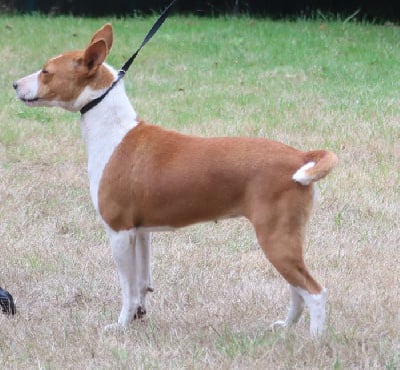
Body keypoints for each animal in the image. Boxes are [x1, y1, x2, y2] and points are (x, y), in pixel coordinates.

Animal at [13, 22, 338, 336]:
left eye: (46, 71)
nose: (14, 84)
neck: (114, 131)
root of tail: (300, 157)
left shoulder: (119, 232)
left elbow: (127, 288)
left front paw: (121, 325)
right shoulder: (141, 232)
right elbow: (141, 283)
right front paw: (138, 317)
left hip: (275, 238)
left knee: (315, 291)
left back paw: (314, 339)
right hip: (285, 238)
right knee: (297, 289)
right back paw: (286, 326)